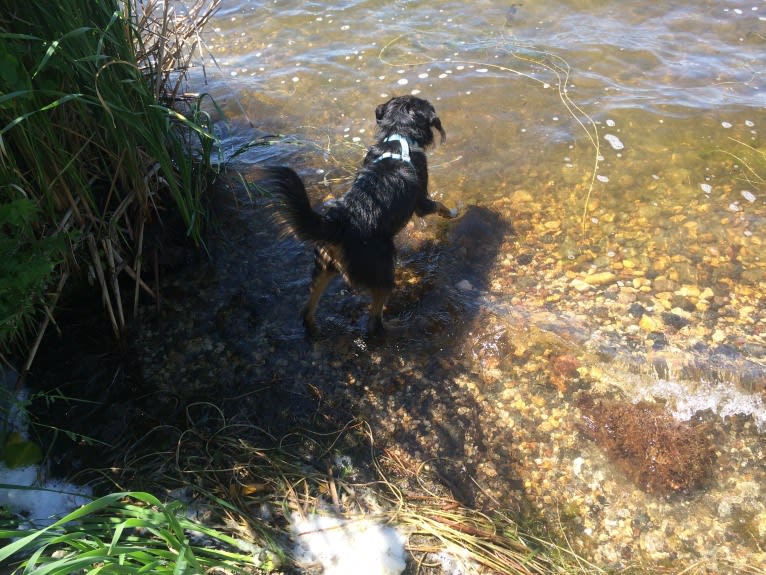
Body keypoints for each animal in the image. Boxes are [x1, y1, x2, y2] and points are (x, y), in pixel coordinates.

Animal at [266, 96, 456, 336]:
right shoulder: (421, 201)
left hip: (324, 267)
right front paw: (453, 213)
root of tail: (339, 223)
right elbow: (439, 206)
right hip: (382, 270)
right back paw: (397, 327)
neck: (399, 137)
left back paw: (314, 330)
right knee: (374, 320)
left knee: (307, 310)